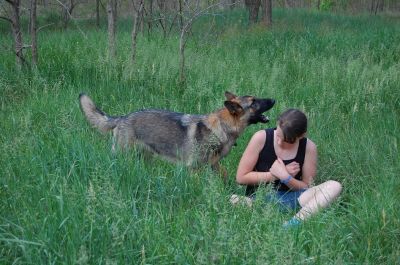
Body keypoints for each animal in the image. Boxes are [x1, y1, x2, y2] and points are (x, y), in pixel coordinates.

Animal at [79, 91, 276, 179]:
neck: (222, 127)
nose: (274, 99)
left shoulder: (214, 165)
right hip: (123, 155)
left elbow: (225, 175)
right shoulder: (194, 169)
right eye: (254, 102)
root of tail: (122, 118)